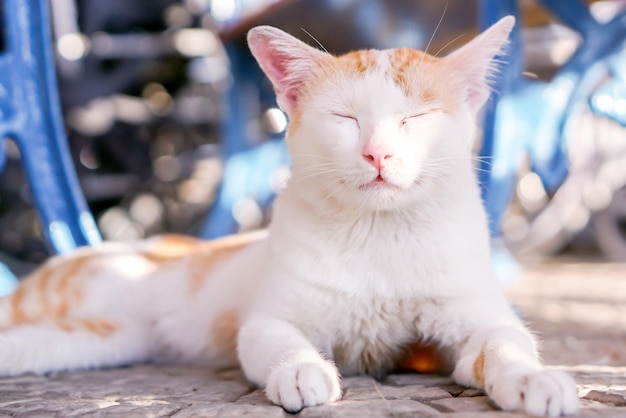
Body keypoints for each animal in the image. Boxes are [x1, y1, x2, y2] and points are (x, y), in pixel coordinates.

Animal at [0, 15, 576, 414]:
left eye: (415, 118)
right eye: (344, 118)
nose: (378, 154)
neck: (380, 235)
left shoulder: (476, 320)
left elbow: (504, 344)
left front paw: (535, 380)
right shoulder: (266, 322)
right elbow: (283, 343)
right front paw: (302, 372)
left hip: (100, 337)